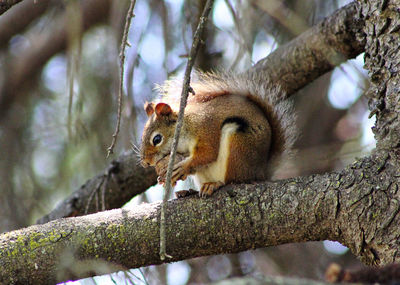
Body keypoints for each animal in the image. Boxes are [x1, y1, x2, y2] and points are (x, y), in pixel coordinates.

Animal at [139, 71, 296, 196]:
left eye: (157, 139)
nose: (146, 163)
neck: (186, 125)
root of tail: (261, 173)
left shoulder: (207, 129)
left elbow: (208, 154)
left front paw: (183, 167)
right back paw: (189, 191)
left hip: (238, 146)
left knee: (234, 180)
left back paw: (215, 184)